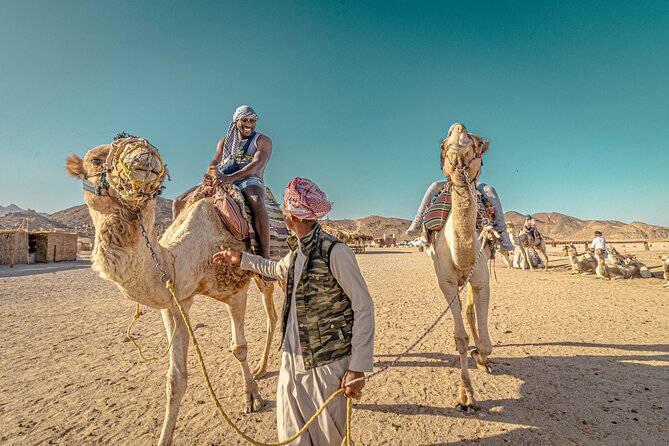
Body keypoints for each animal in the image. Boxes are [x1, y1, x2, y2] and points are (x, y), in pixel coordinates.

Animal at [65, 136, 278, 445]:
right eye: (94, 160)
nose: (145, 157)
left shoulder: (235, 289)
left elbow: (238, 347)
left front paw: (252, 397)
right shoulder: (177, 300)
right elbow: (176, 378)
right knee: (273, 315)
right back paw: (262, 367)